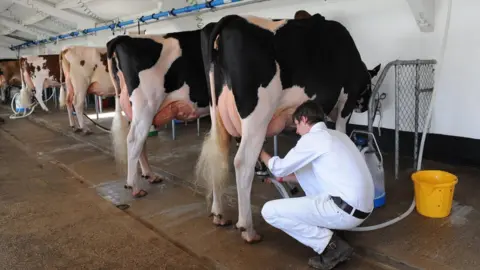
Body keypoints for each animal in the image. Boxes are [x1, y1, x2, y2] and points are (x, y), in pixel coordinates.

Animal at [108, 28, 215, 197]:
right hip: (146, 103)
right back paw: (134, 186)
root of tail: (123, 38)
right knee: (134, 139)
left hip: (136, 109)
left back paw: (150, 175)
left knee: (141, 141)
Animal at [194, 12, 378, 244]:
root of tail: (231, 19)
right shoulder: (346, 101)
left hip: (216, 113)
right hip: (257, 114)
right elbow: (340, 131)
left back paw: (218, 213)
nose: (365, 105)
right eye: (368, 88)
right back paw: (247, 228)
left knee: (219, 156)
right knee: (242, 162)